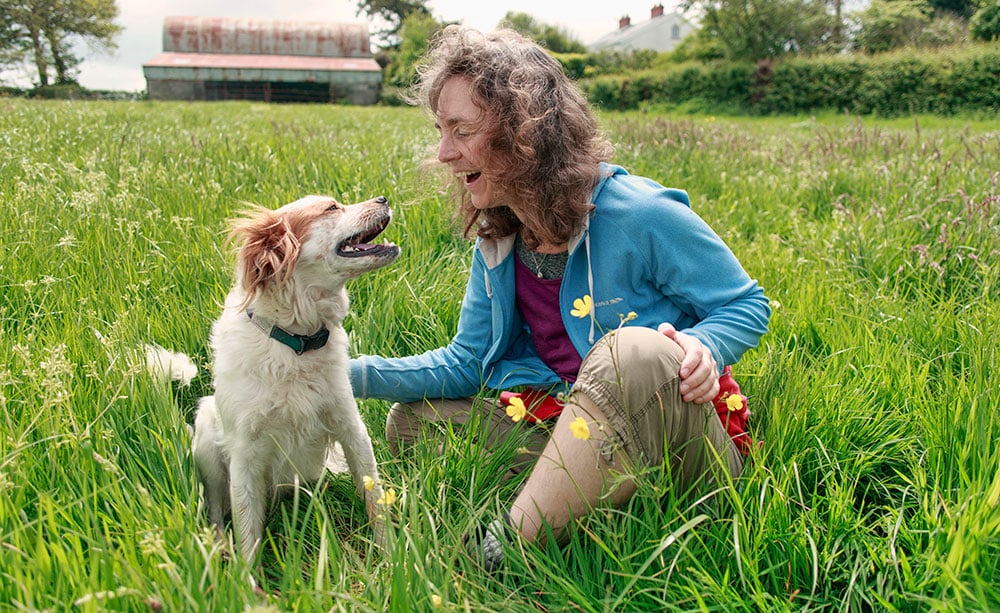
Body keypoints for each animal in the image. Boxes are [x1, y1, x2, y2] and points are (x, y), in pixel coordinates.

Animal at [191, 195, 398, 564]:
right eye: (331, 207)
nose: (383, 198)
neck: (295, 343)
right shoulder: (244, 455)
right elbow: (247, 530)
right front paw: (246, 579)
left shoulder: (351, 429)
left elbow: (374, 500)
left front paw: (392, 560)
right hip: (205, 434)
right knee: (215, 508)